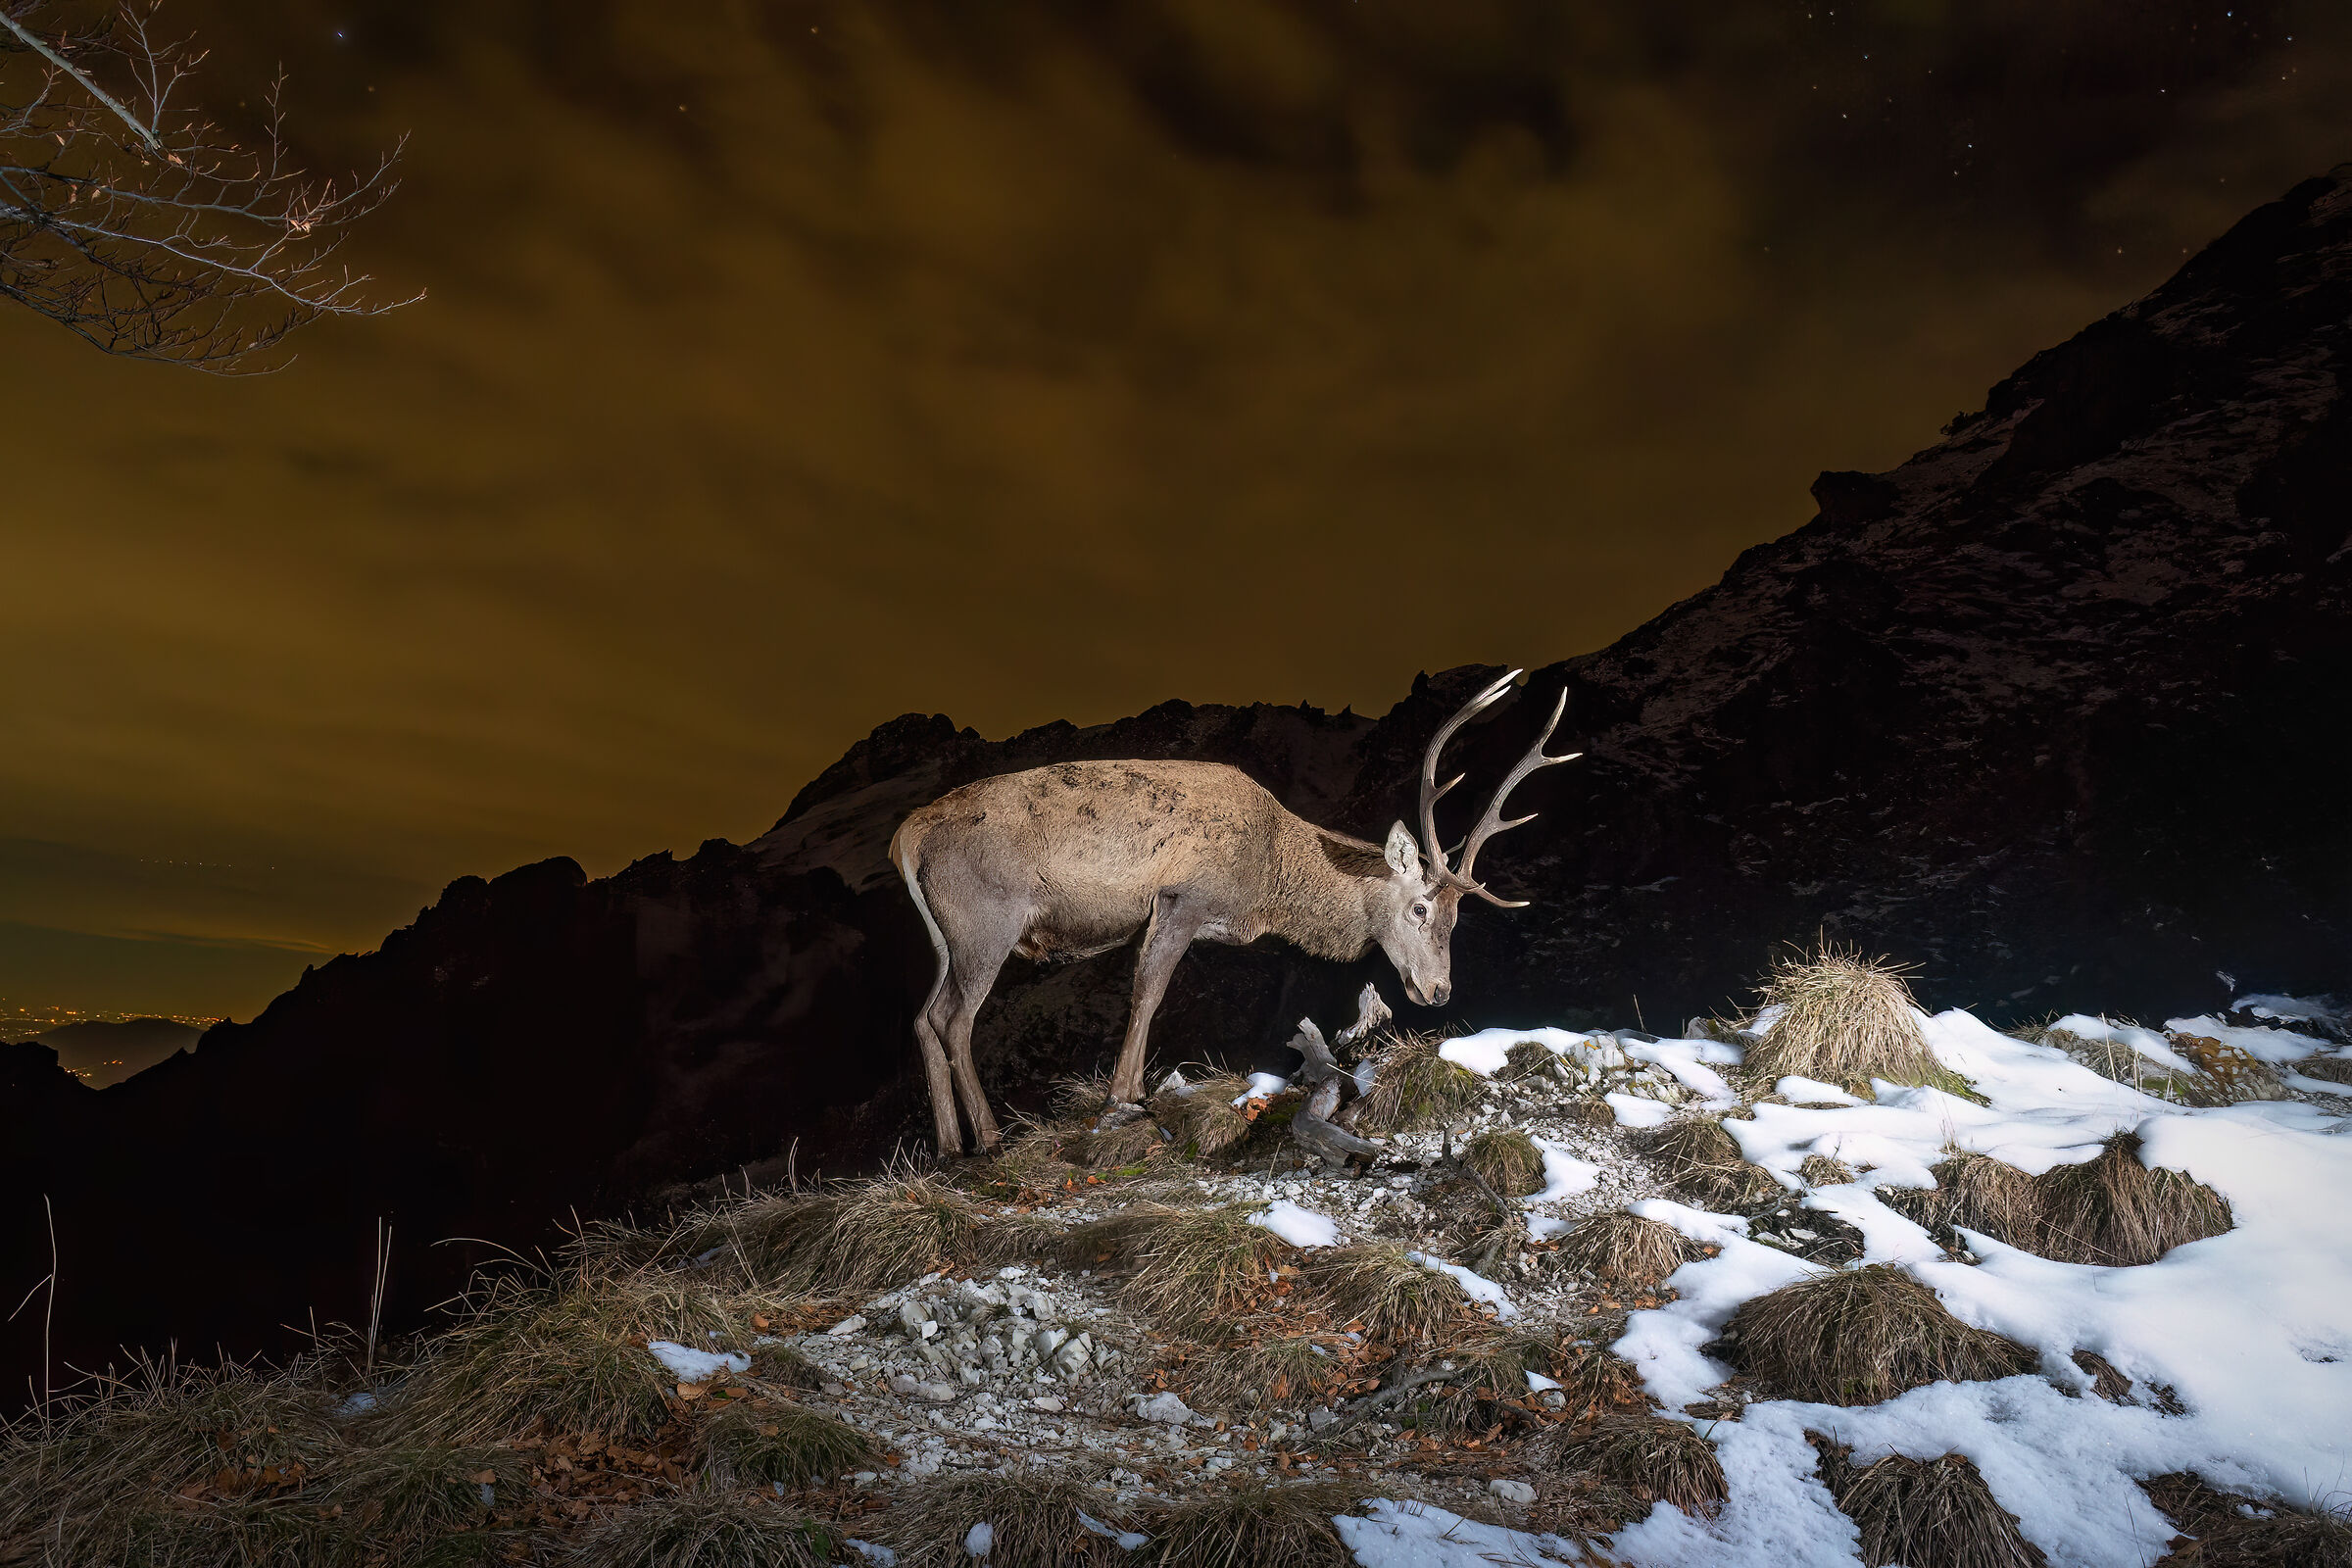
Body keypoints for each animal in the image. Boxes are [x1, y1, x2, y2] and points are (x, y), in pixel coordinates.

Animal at [887, 670, 1577, 1156]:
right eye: (1419, 908)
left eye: (1457, 921)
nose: (1439, 991)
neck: (1268, 885)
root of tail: (905, 838)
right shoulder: (1181, 899)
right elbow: (1148, 989)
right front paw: (1125, 1096)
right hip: (987, 920)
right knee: (955, 1019)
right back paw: (987, 1136)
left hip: (946, 935)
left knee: (923, 1017)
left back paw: (947, 1143)